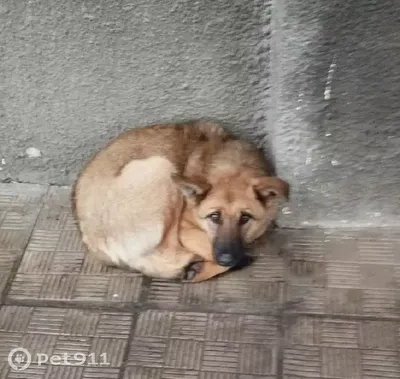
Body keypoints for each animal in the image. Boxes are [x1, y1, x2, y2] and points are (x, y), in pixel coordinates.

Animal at [72, 121, 290, 282]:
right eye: (214, 217)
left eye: (245, 218)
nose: (227, 257)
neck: (234, 166)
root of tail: (92, 238)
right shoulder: (187, 227)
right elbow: (205, 246)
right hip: (161, 167)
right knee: (168, 252)